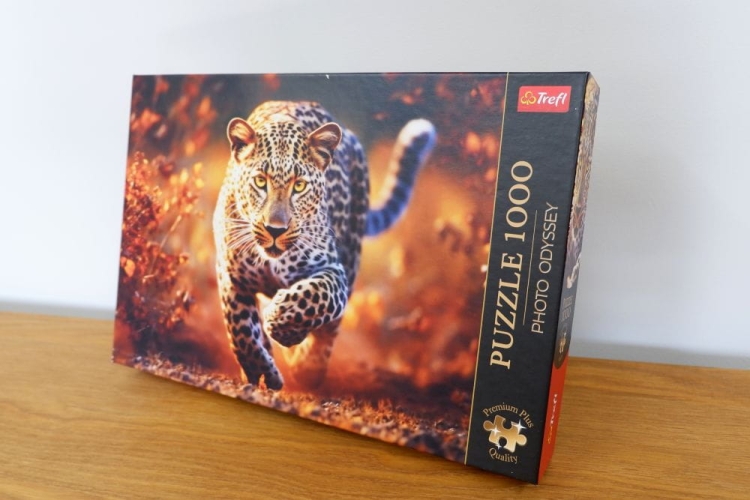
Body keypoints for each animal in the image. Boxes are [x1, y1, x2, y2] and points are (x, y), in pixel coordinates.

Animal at [213, 101, 435, 390]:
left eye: (299, 186)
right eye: (260, 181)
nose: (275, 230)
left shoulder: (334, 271)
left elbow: (316, 296)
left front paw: (282, 320)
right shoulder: (230, 275)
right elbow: (240, 329)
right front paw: (260, 371)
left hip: (351, 256)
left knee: (329, 329)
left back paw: (308, 366)